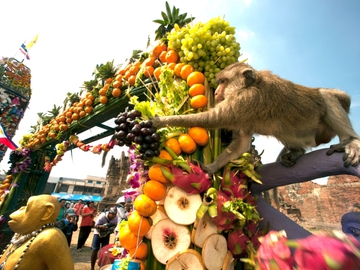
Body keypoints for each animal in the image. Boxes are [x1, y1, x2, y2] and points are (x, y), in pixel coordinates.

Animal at [152, 61, 360, 174]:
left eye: (223, 81)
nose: (217, 92)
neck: (250, 85)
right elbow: (242, 142)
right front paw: (212, 168)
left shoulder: (247, 100)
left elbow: (213, 119)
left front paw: (161, 121)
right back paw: (297, 152)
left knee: (326, 96)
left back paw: (351, 141)